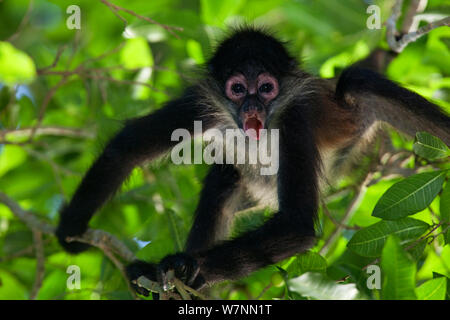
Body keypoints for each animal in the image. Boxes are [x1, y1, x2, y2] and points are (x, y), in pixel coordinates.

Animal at [56, 26, 450, 296]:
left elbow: (295, 225)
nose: (252, 106)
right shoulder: (200, 104)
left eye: (265, 88)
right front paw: (71, 229)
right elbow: (127, 147)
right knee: (225, 177)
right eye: (237, 89)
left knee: (359, 80)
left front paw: (183, 268)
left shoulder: (295, 118)